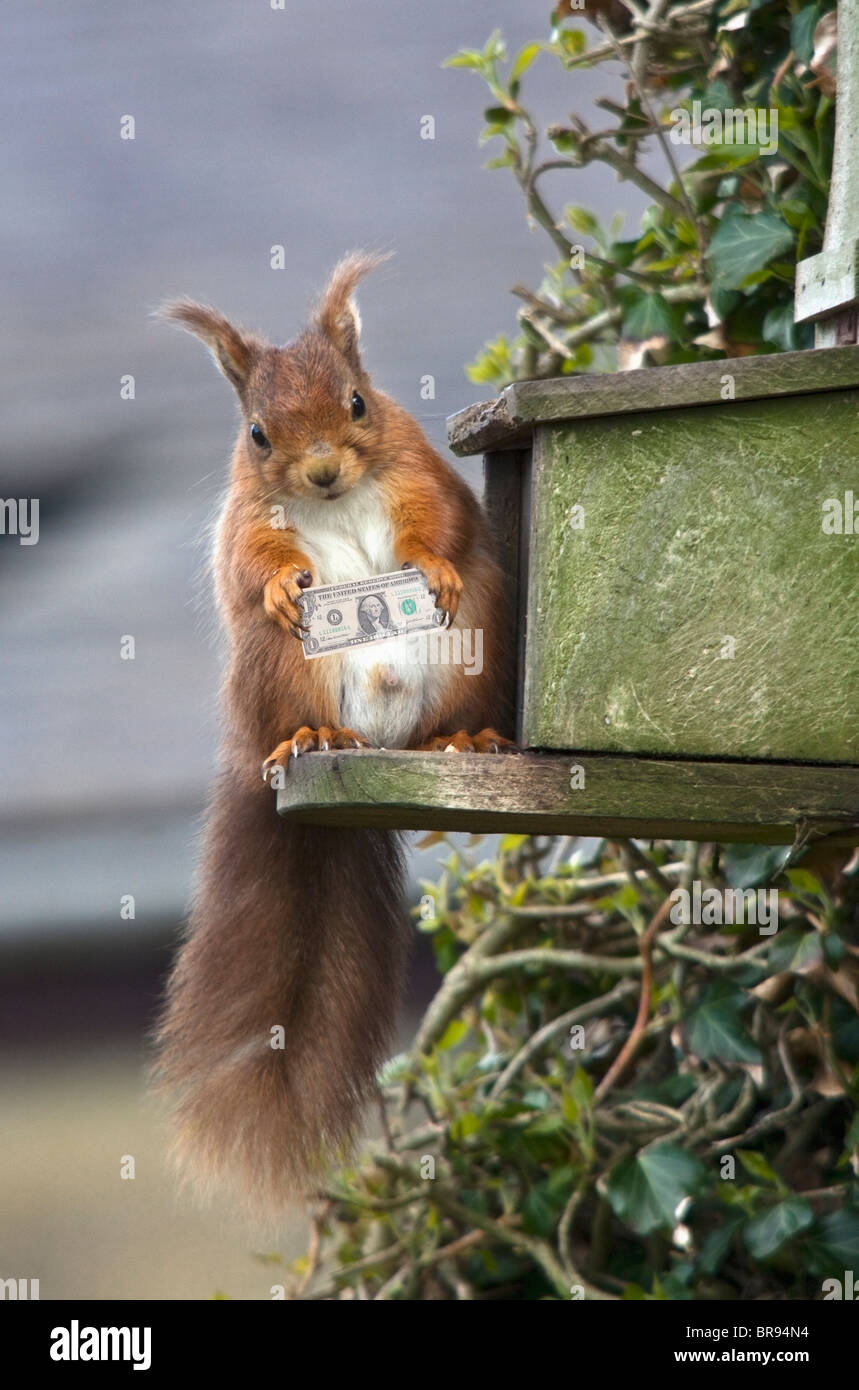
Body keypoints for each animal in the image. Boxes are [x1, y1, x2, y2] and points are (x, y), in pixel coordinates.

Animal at [151, 252, 511, 1217]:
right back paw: (310, 740)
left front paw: (428, 564)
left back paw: (455, 747)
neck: (341, 499)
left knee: (438, 724)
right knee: (298, 711)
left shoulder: (420, 470)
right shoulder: (247, 517)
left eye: (357, 402)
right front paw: (280, 585)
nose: (317, 473)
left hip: (471, 654)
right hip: (279, 672)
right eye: (257, 434)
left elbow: (437, 523)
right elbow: (250, 562)